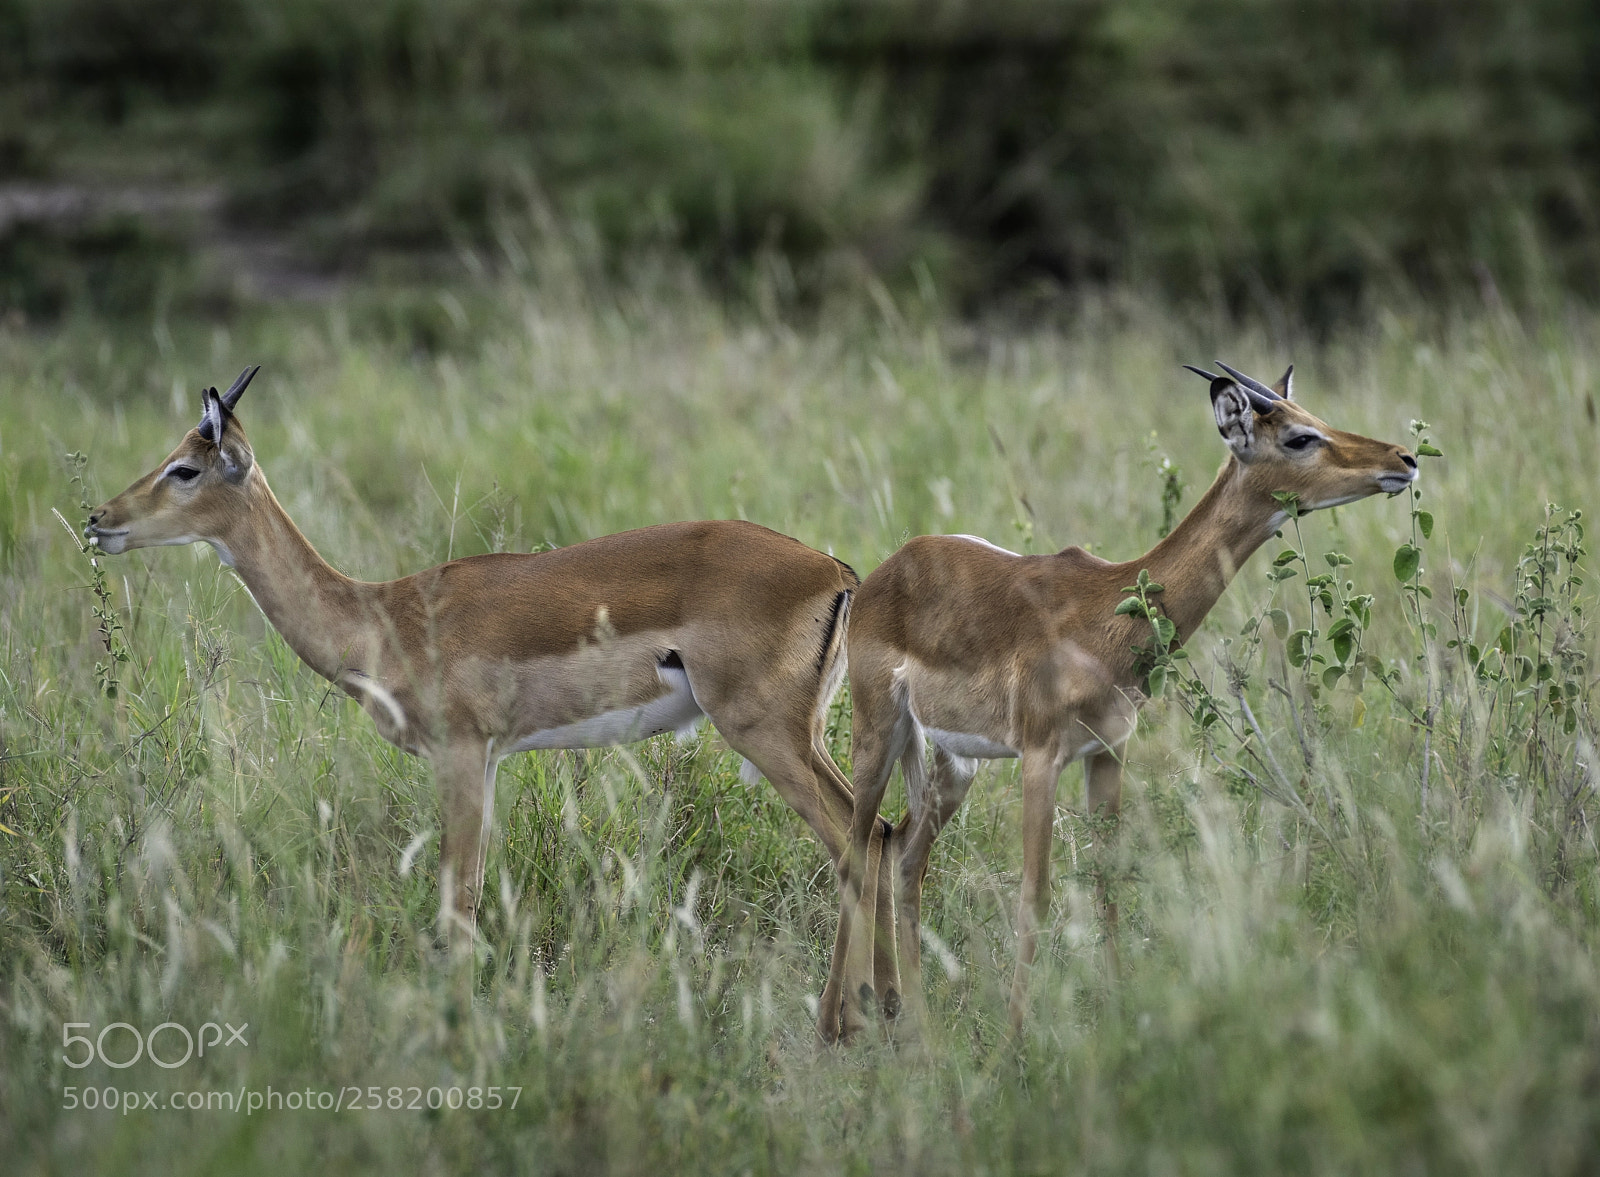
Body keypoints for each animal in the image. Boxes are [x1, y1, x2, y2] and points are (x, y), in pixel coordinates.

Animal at [85, 367, 902, 1029]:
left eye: (185, 468)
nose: (99, 519)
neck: (379, 616)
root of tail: (837, 572)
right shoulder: (487, 759)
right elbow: (472, 892)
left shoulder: (457, 752)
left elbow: (457, 899)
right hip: (805, 735)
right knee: (883, 832)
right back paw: (887, 1012)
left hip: (764, 731)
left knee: (850, 843)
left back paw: (835, 1023)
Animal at [822, 362, 1419, 1040]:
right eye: (1298, 437)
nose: (1404, 458)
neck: (1106, 615)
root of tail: (882, 572)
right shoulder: (1040, 757)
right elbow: (1035, 893)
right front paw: (1016, 1040)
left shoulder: (1108, 751)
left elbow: (1108, 883)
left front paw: (1116, 1019)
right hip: (879, 733)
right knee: (854, 850)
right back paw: (832, 1028)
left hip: (954, 764)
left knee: (904, 854)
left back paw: (917, 1029)